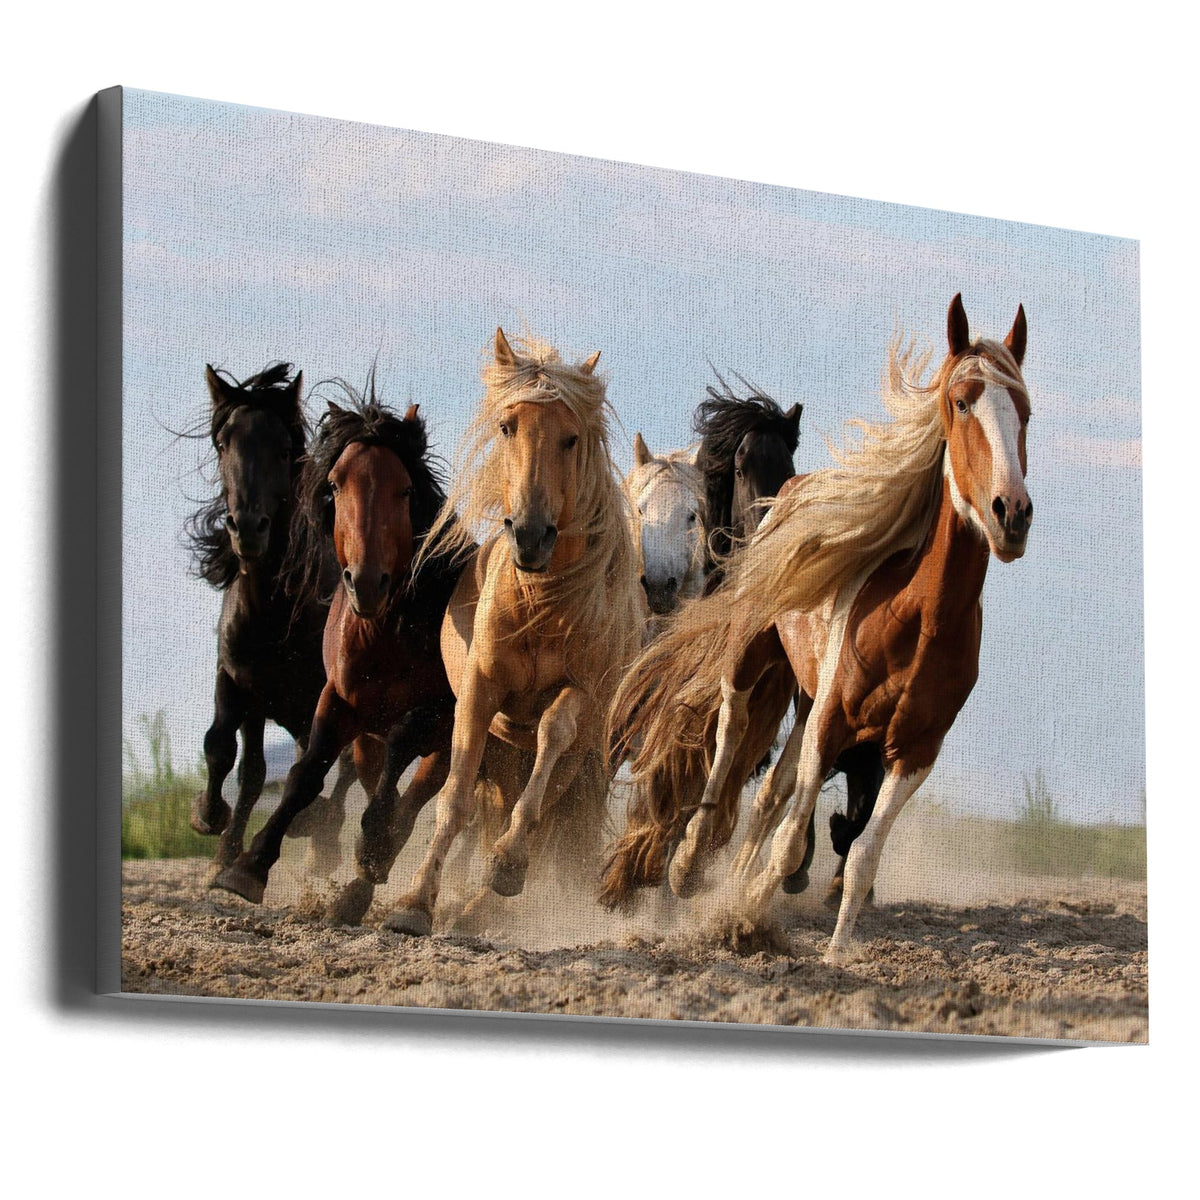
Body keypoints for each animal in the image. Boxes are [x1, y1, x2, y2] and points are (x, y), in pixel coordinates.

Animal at [186, 363, 352, 875]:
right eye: (224, 444)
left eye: (283, 448)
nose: (248, 529)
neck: (272, 612)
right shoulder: (239, 681)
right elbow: (228, 752)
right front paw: (212, 826)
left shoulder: (323, 696)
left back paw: (322, 842)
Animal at [210, 386, 462, 917]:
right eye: (335, 485)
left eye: (404, 490)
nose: (366, 582)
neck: (387, 631)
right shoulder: (338, 699)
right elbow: (306, 773)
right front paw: (248, 867)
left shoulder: (438, 713)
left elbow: (403, 748)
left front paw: (372, 845)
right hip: (366, 739)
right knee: (373, 780)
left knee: (414, 799)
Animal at [383, 329, 644, 937]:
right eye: (507, 427)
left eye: (571, 439)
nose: (529, 535)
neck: (540, 605)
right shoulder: (480, 694)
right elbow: (454, 799)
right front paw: (414, 902)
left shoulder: (580, 697)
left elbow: (550, 740)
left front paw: (505, 864)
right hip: (505, 752)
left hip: (581, 759)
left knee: (544, 813)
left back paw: (487, 896)